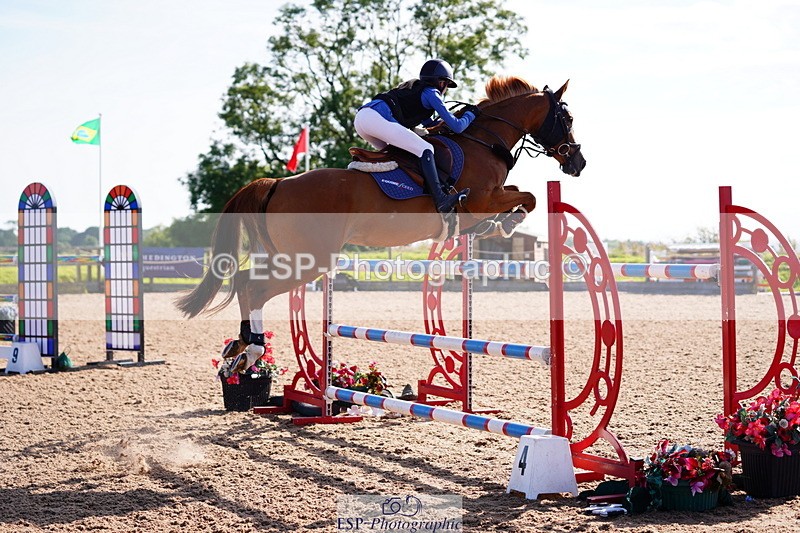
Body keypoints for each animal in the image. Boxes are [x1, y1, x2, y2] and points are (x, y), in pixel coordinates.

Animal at [176, 75, 585, 367]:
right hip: (308, 261)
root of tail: (277, 183)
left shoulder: (489, 198)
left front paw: (498, 225)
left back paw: (241, 345)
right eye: (566, 118)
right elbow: (528, 198)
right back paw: (254, 350)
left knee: (245, 281)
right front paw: (508, 223)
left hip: (287, 255)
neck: (482, 141)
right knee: (255, 288)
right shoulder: (482, 199)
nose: (577, 163)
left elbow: (517, 196)